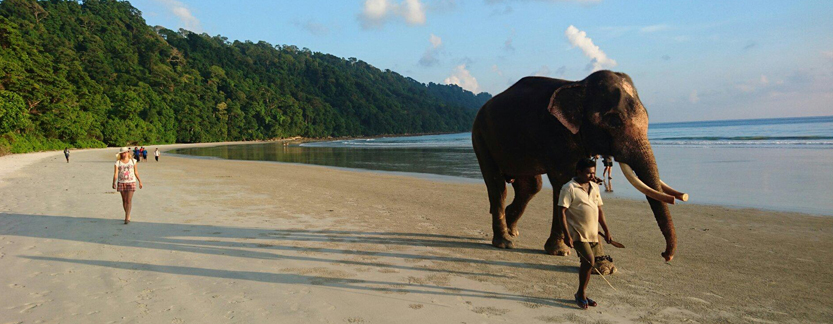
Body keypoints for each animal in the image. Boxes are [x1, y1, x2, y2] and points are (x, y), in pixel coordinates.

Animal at [472, 70, 684, 266]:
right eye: (614, 121)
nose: (665, 256)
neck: (579, 84)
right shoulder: (554, 134)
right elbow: (562, 182)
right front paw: (561, 251)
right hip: (481, 139)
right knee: (498, 186)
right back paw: (504, 242)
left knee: (530, 186)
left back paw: (512, 231)